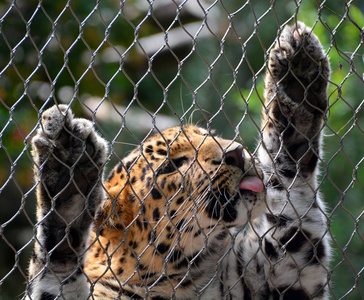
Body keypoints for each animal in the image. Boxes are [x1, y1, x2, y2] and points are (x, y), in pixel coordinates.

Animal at [25, 21, 332, 300]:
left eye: (206, 134)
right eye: (172, 166)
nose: (236, 153)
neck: (185, 276)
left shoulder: (284, 273)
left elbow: (291, 195)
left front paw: (296, 76)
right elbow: (57, 260)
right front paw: (66, 176)